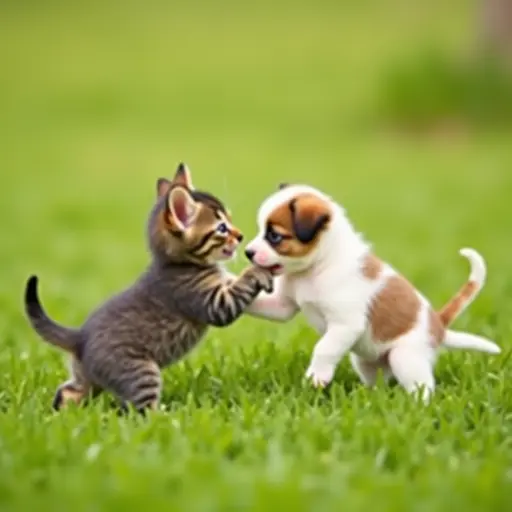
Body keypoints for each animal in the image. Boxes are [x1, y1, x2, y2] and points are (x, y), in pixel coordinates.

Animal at [25, 163, 272, 412]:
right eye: (221, 228)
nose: (240, 236)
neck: (178, 263)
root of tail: (80, 337)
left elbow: (232, 281)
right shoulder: (211, 303)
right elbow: (238, 288)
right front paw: (258, 270)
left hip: (87, 380)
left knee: (67, 393)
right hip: (141, 372)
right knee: (140, 409)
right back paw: (164, 416)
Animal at [244, 182, 500, 402]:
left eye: (274, 236)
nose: (248, 252)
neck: (319, 265)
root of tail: (438, 325)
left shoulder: (345, 324)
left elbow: (324, 348)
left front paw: (317, 376)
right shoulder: (283, 306)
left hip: (405, 358)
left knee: (424, 388)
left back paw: (417, 406)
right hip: (364, 361)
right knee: (377, 381)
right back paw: (371, 397)